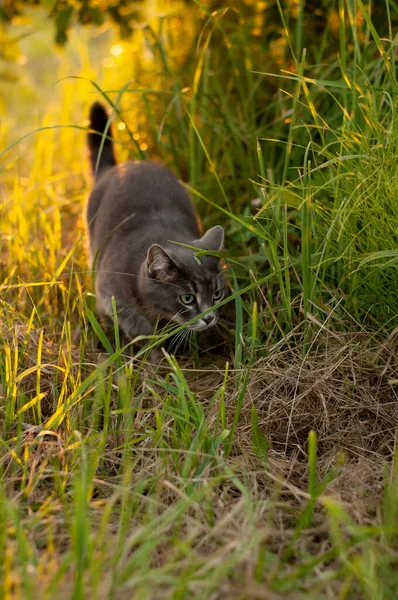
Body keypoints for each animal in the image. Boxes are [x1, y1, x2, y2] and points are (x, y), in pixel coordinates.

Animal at [86, 103, 225, 346]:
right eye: (187, 298)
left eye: (217, 294)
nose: (209, 318)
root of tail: (116, 168)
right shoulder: (111, 293)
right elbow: (139, 329)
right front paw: (155, 350)